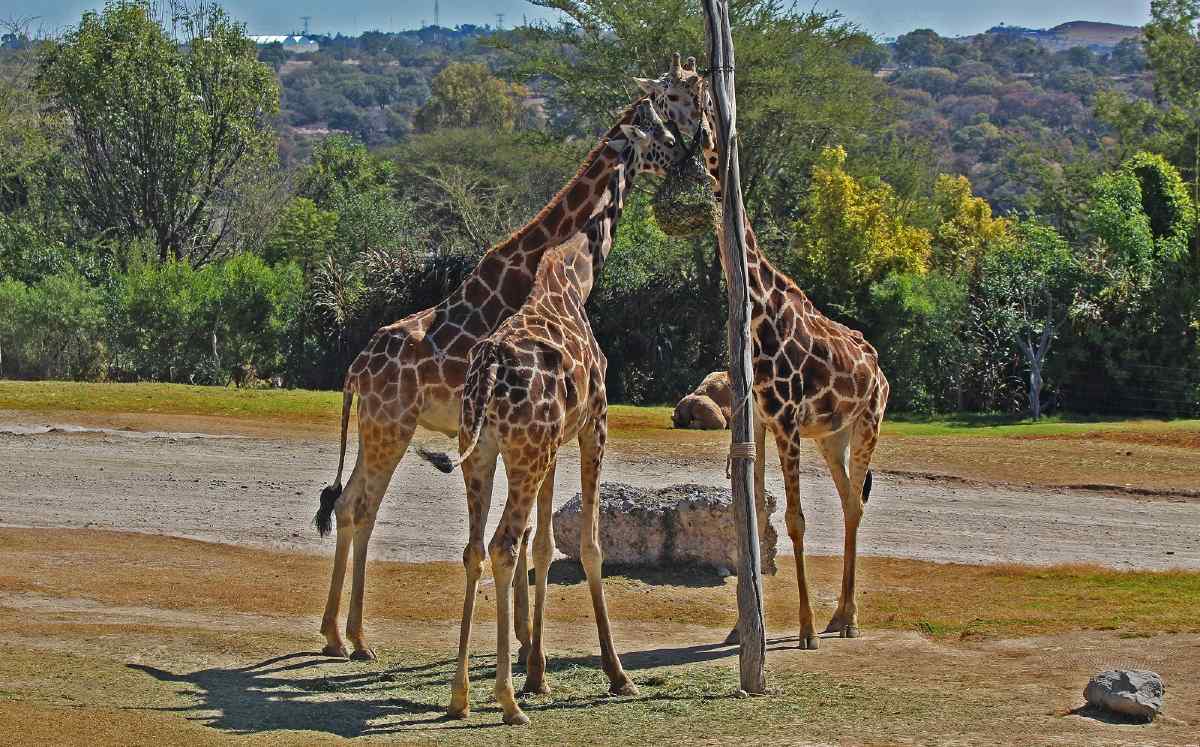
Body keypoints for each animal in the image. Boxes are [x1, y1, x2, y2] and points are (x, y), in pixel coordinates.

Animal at [312, 74, 706, 662]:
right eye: (670, 114)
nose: (695, 155)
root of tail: (356, 370)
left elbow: (521, 538)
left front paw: (522, 642)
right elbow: (523, 539)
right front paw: (524, 646)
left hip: (374, 427)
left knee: (347, 505)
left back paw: (340, 634)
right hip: (391, 428)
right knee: (361, 507)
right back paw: (353, 637)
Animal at [416, 106, 676, 725]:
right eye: (657, 130)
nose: (683, 152)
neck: (574, 273)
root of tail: (489, 369)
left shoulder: (551, 444)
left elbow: (544, 546)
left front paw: (537, 673)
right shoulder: (593, 426)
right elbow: (588, 546)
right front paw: (616, 675)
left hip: (484, 453)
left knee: (476, 548)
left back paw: (462, 697)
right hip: (524, 451)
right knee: (502, 545)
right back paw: (507, 702)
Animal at [640, 58, 890, 649]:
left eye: (677, 93)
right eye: (660, 92)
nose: (651, 115)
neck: (759, 310)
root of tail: (879, 369)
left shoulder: (787, 418)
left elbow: (795, 519)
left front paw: (803, 631)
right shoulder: (756, 418)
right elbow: (751, 515)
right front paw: (740, 628)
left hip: (867, 423)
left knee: (855, 503)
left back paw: (842, 621)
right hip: (833, 436)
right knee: (850, 500)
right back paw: (840, 616)